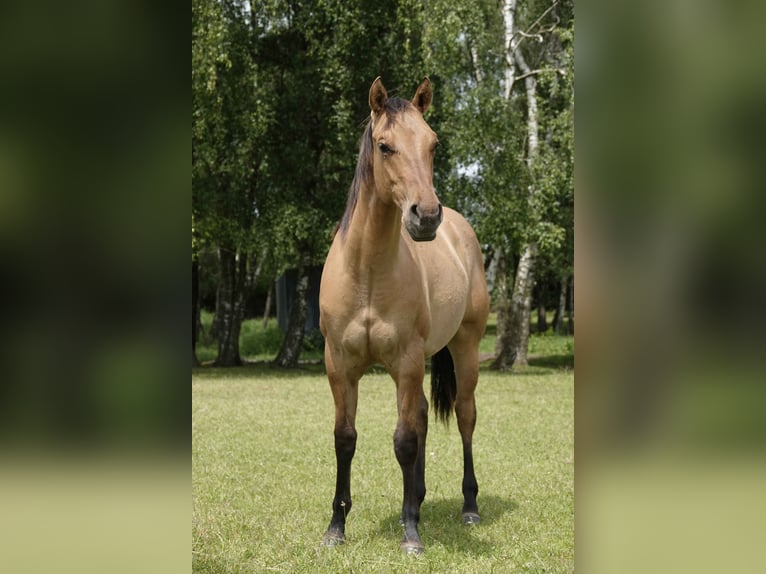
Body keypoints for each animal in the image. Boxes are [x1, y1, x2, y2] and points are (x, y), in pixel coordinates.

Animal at [318, 77, 489, 554]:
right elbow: (345, 439)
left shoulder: (407, 362)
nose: (426, 216)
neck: (368, 272)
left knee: (464, 416)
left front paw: (410, 533)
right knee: (424, 414)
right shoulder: (339, 365)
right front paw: (336, 526)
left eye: (433, 144)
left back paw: (467, 506)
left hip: (465, 348)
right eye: (385, 145)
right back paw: (416, 499)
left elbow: (404, 440)